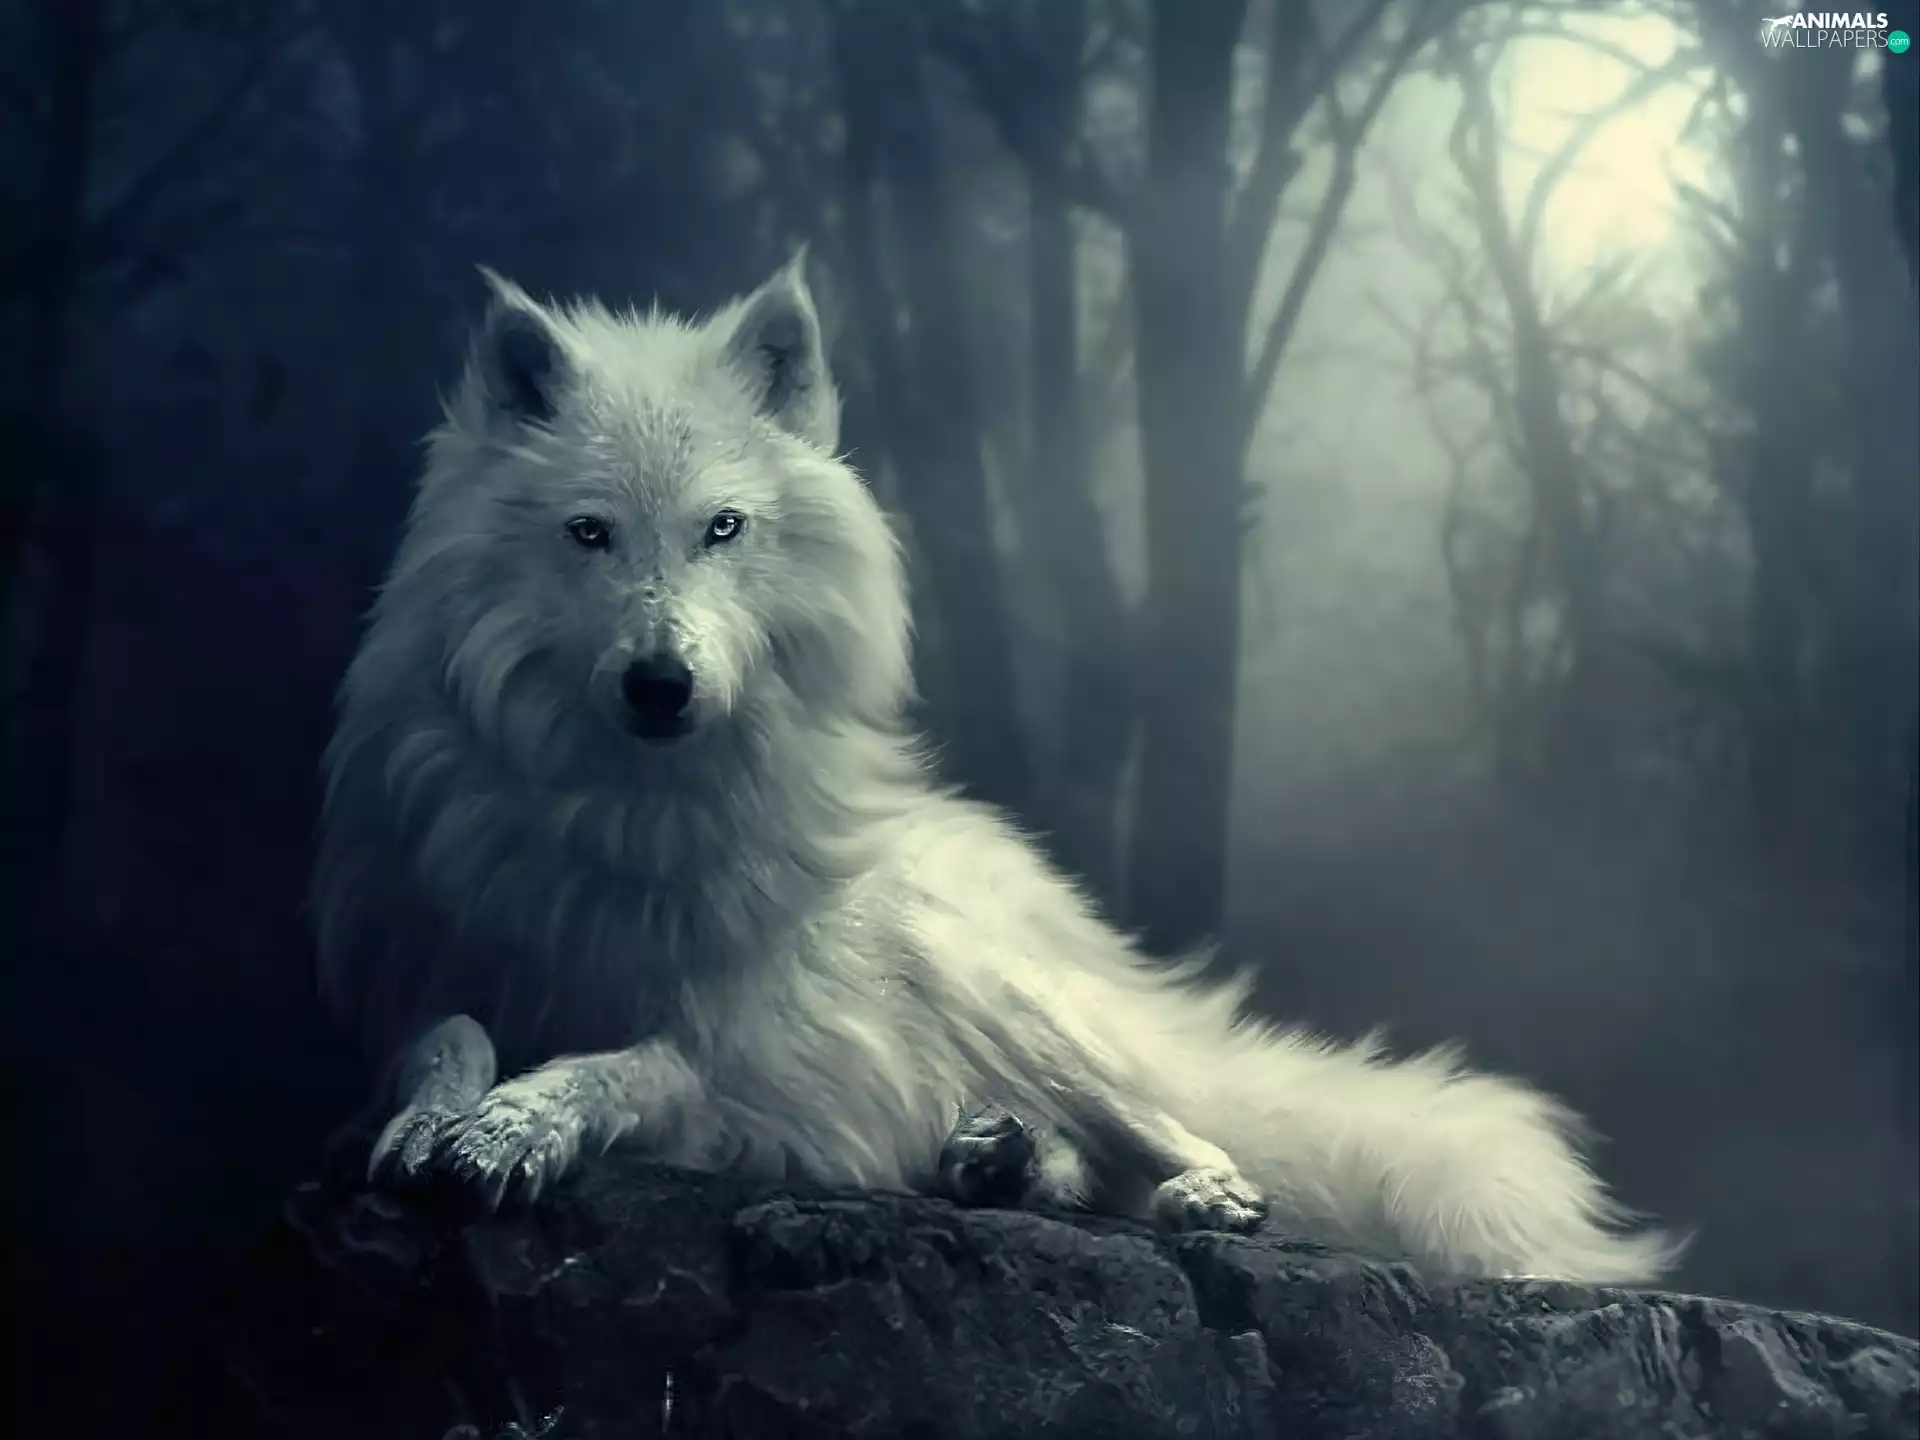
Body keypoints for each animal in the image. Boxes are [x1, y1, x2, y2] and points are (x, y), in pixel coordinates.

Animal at [314, 253, 1683, 1284]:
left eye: (723, 528)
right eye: (589, 534)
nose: (662, 684)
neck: (631, 812)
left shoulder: (752, 1055)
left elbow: (627, 1064)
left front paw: (517, 1125)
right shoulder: (418, 968)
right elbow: (446, 1037)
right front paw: (438, 1119)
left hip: (1011, 999)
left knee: (1184, 1137)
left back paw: (1185, 1193)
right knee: (1066, 1159)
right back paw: (994, 1157)